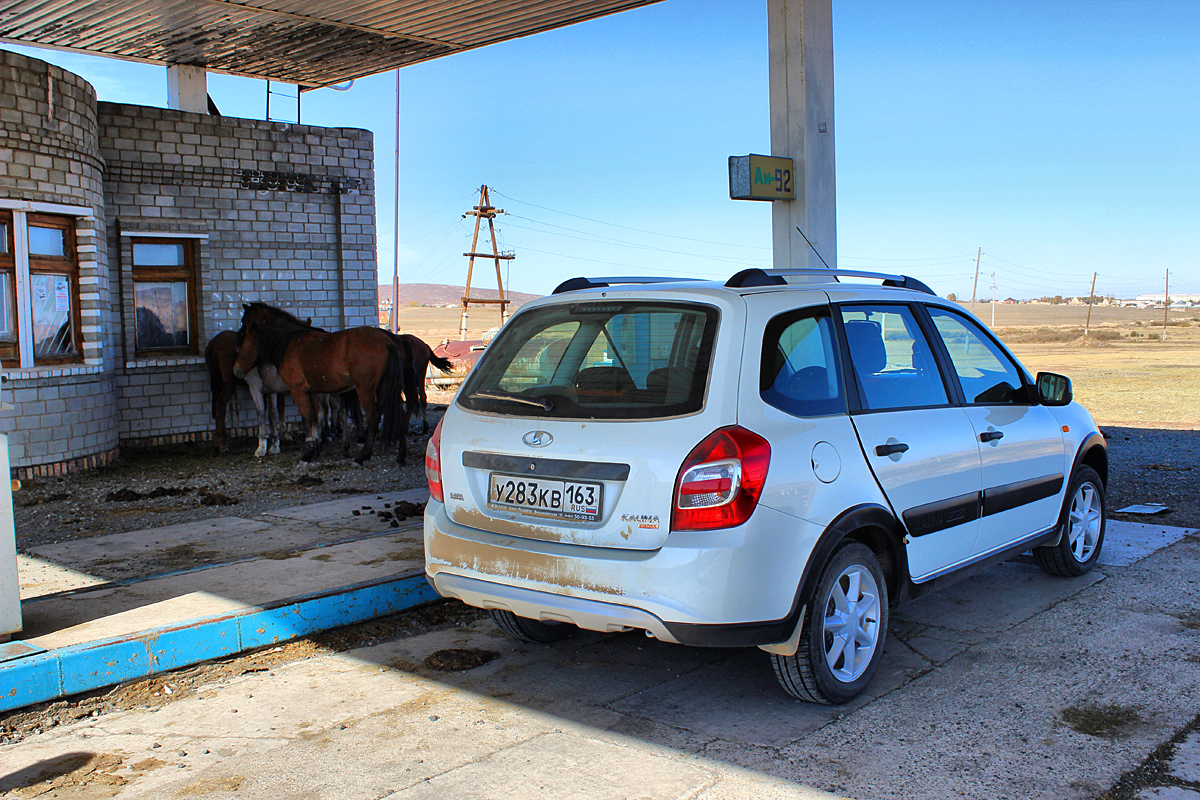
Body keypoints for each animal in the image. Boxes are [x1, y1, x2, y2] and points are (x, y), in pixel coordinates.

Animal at [231, 321, 415, 462]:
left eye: (241, 346)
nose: (236, 371)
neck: (288, 347)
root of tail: (388, 342)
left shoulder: (298, 390)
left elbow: (307, 420)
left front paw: (307, 454)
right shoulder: (313, 392)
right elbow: (316, 418)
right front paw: (315, 449)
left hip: (366, 390)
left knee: (374, 417)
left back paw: (363, 456)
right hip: (386, 389)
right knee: (398, 414)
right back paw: (401, 455)